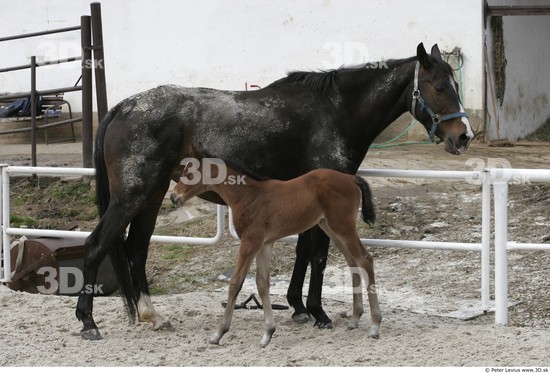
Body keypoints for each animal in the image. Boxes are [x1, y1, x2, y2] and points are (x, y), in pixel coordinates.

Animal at [76, 42, 474, 338]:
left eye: (455, 85)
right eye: (440, 87)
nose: (464, 136)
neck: (335, 110)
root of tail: (123, 107)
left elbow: (303, 251)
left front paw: (298, 307)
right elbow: (317, 253)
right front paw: (316, 311)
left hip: (153, 195)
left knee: (137, 249)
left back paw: (152, 315)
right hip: (133, 195)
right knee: (96, 244)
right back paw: (88, 322)